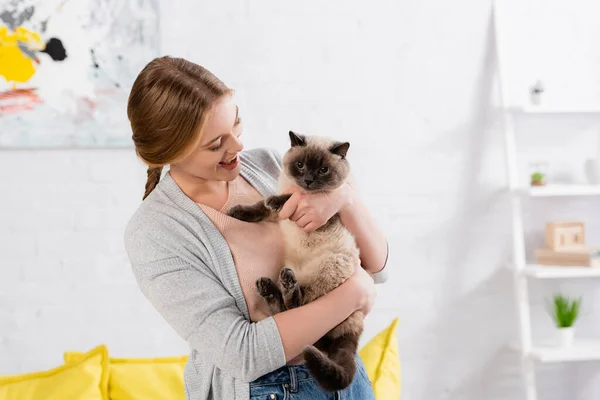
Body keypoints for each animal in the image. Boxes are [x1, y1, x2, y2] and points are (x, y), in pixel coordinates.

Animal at [229, 130, 360, 390]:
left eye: (323, 170)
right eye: (300, 165)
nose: (308, 180)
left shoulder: (325, 215)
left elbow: (286, 198)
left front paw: (278, 199)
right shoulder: (275, 213)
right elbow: (259, 207)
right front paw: (236, 212)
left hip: (327, 270)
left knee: (297, 304)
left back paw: (285, 285)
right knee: (285, 313)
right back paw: (269, 287)